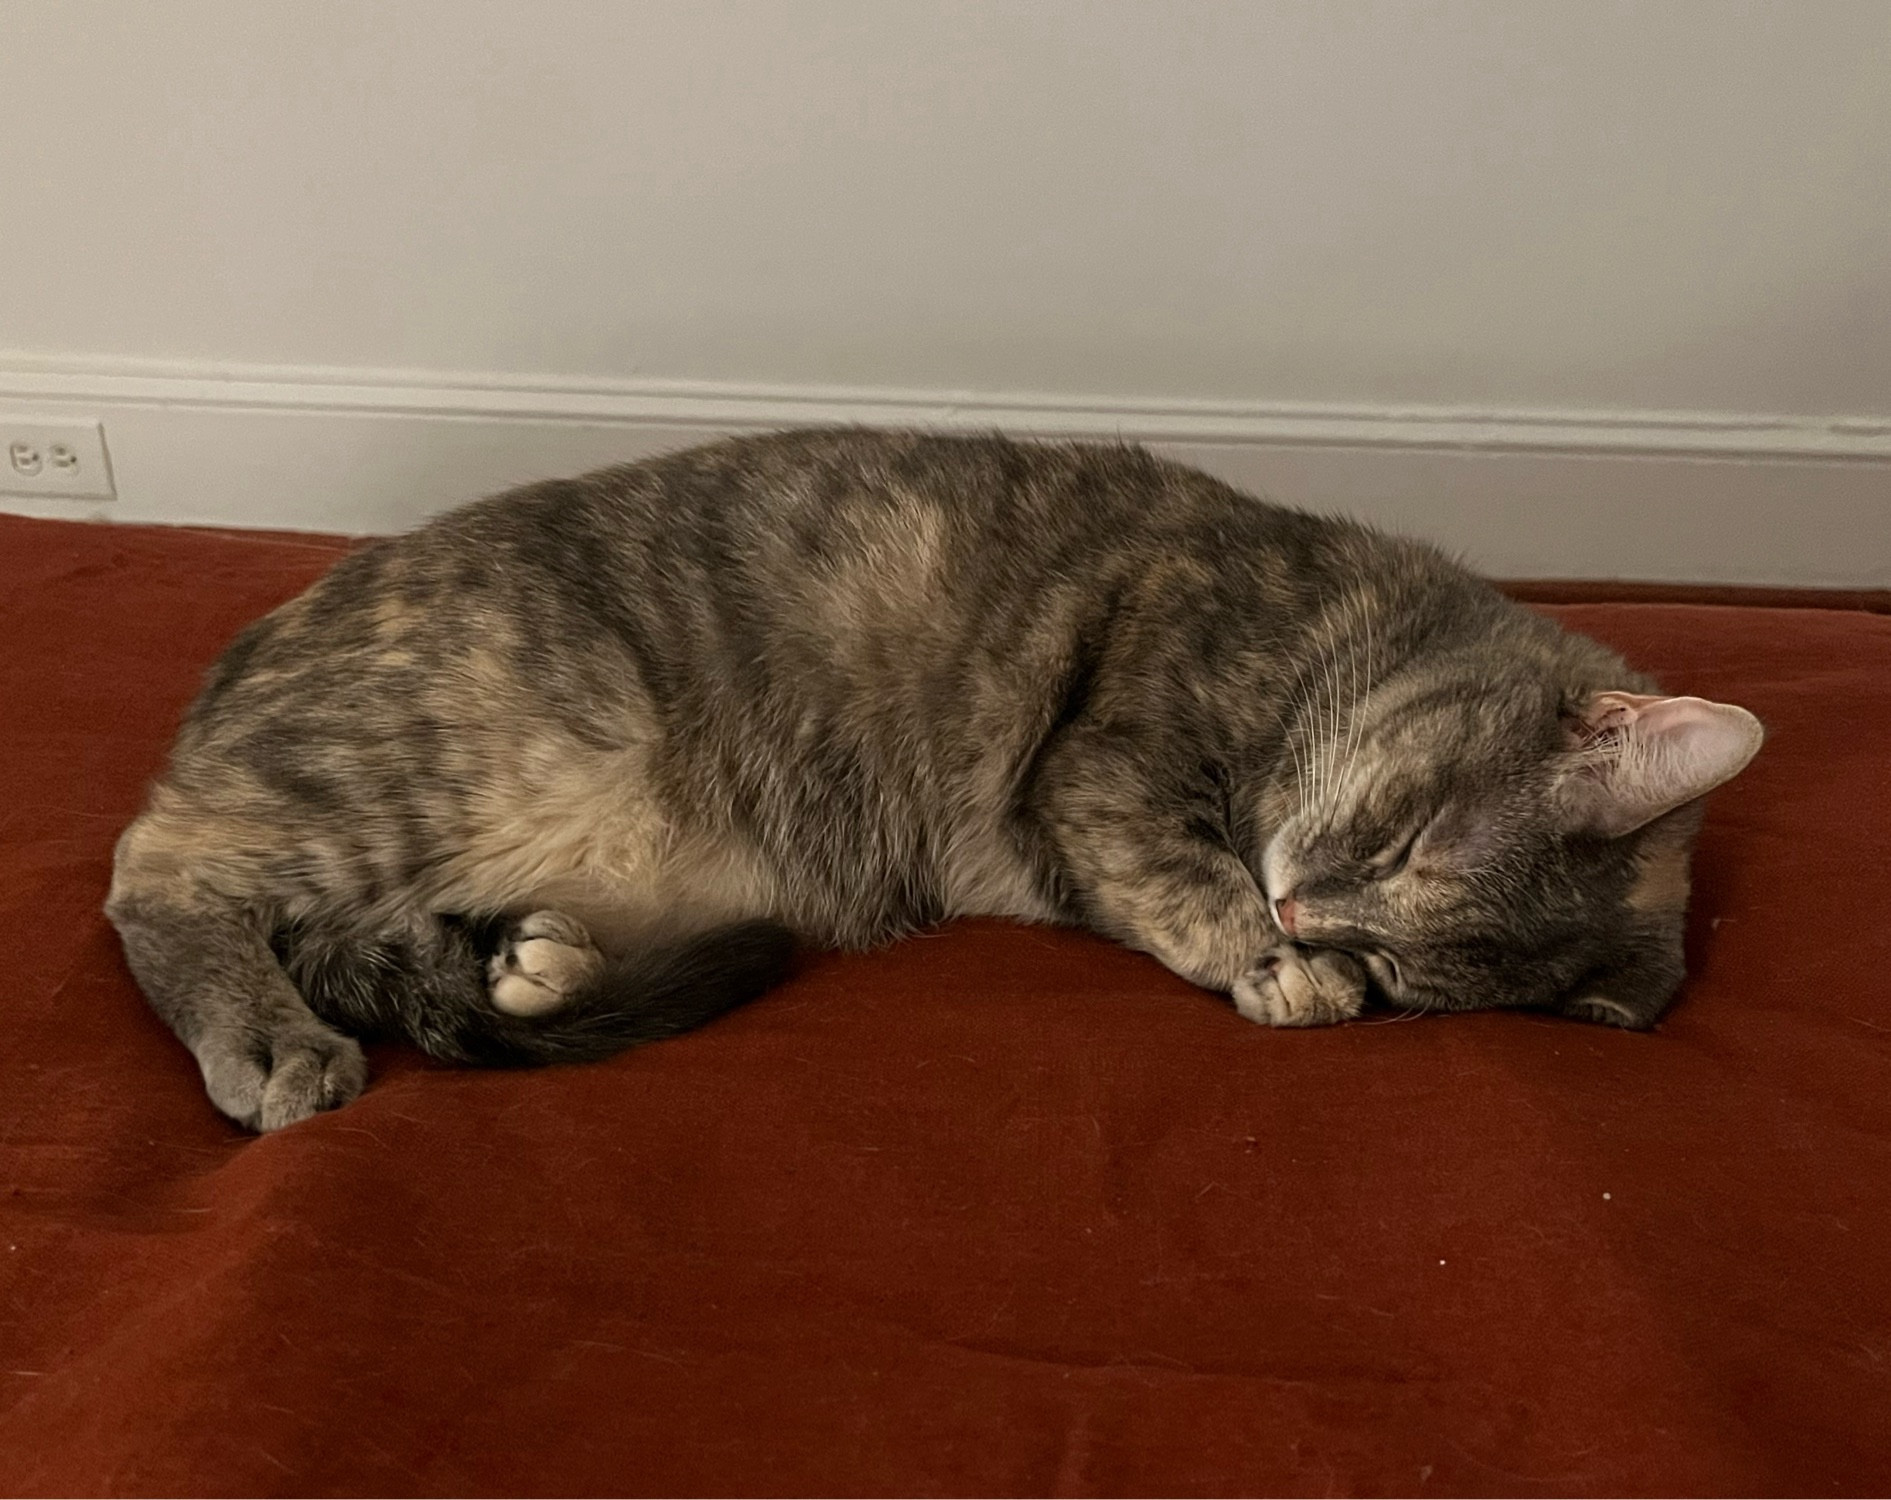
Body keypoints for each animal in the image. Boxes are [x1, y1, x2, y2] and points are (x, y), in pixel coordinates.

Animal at [103, 427, 1762, 1127]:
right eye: (1409, 839)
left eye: (1417, 965)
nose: (1305, 919)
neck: (1324, 630)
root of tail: (255, 649)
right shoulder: (1101, 759)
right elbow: (1176, 861)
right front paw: (1266, 959)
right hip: (440, 753)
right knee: (156, 871)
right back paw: (271, 1039)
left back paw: (532, 955)